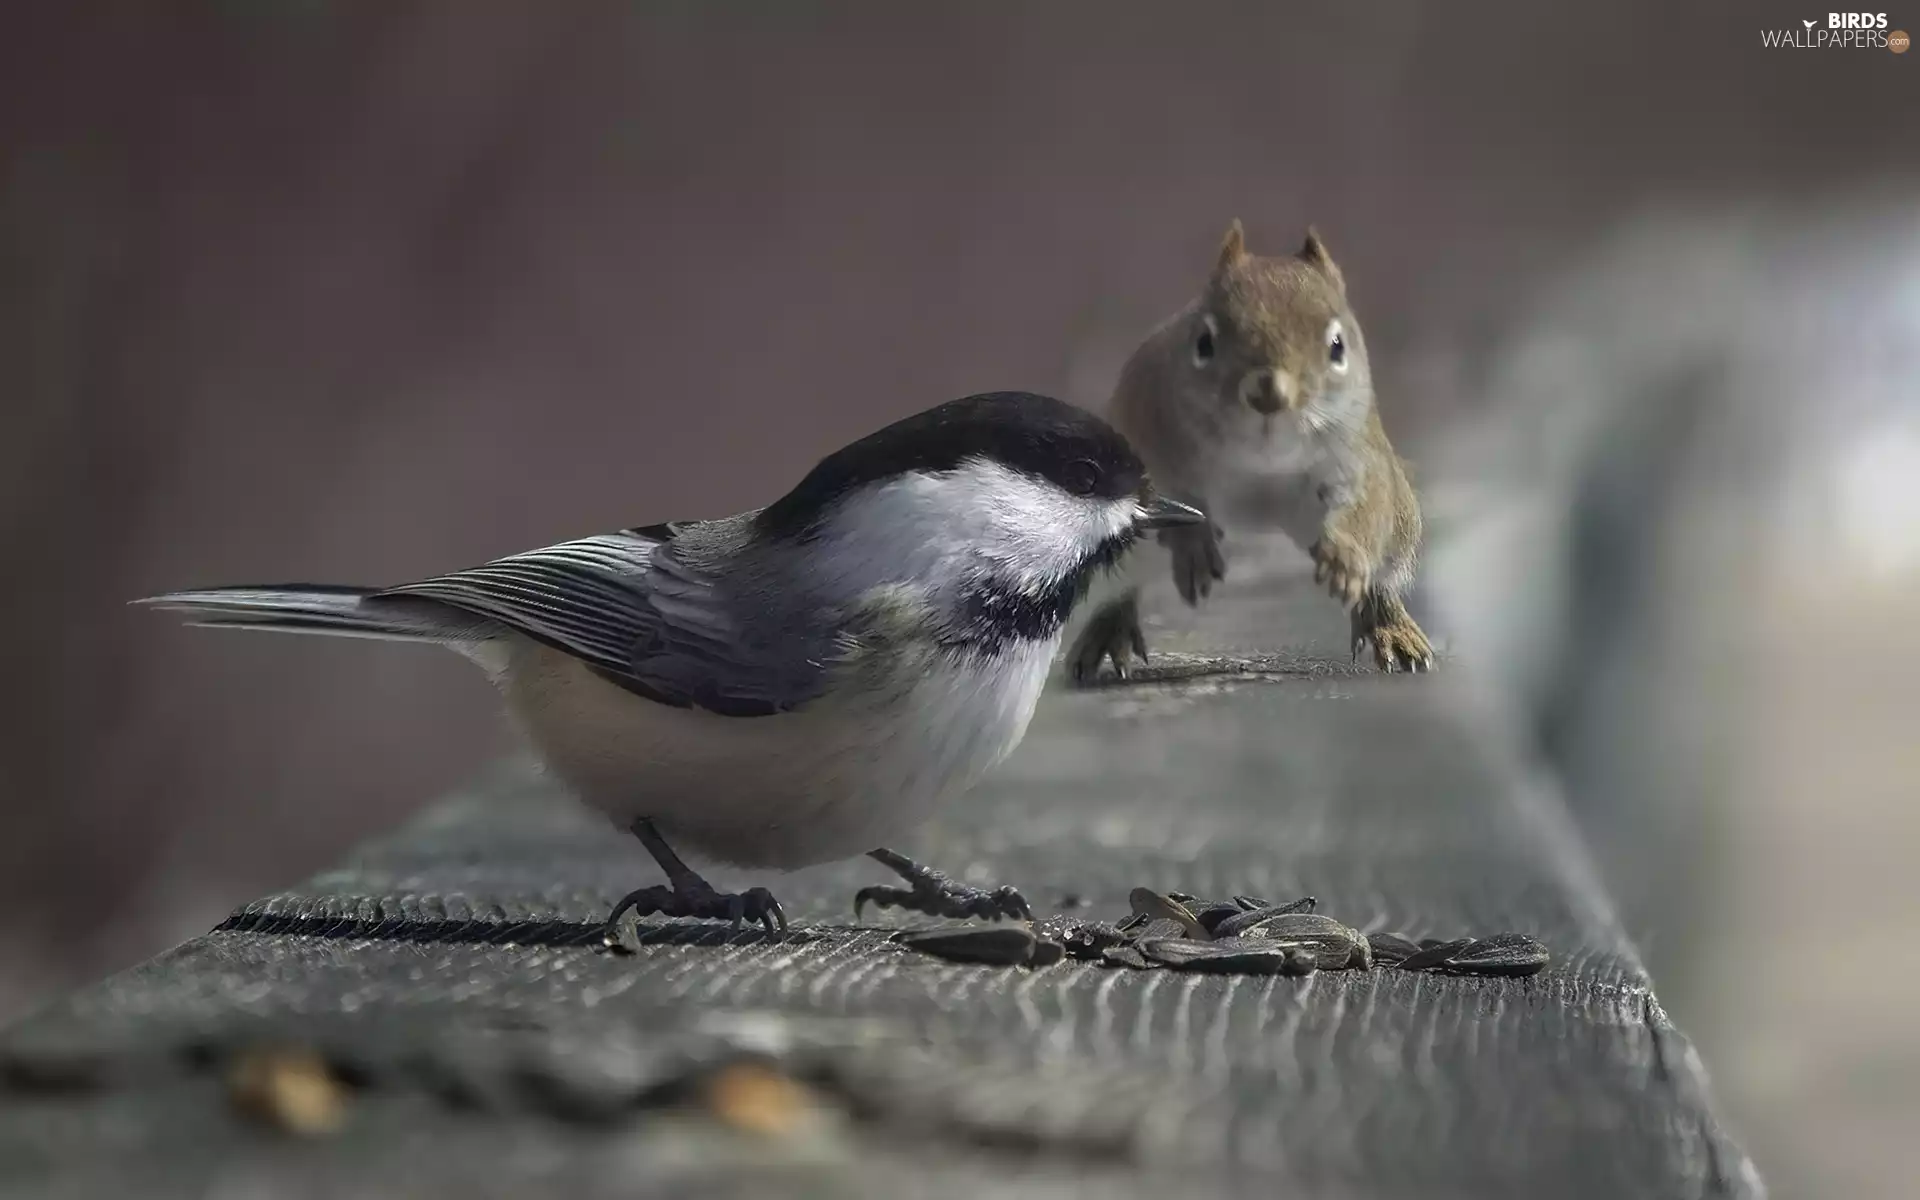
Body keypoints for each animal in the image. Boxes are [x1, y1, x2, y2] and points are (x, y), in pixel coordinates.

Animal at [1068, 218, 1436, 680]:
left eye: (1337, 346)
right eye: (1203, 342)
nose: (1268, 392)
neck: (1264, 461)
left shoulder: (1358, 461)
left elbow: (1364, 512)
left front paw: (1346, 557)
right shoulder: (1148, 431)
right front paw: (1192, 545)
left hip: (1397, 523)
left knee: (1382, 577)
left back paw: (1388, 624)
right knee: (1121, 590)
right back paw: (1108, 629)